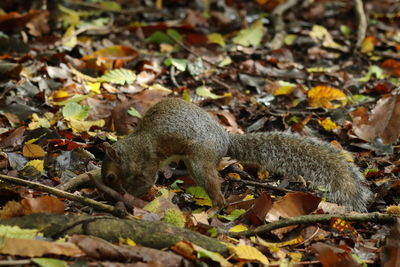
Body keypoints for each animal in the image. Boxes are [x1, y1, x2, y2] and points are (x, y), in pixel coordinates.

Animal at [101, 97, 374, 213]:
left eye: (111, 177)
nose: (104, 190)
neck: (131, 148)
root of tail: (225, 140)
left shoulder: (146, 160)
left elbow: (145, 182)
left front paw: (126, 195)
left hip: (200, 160)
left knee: (215, 189)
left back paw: (214, 208)